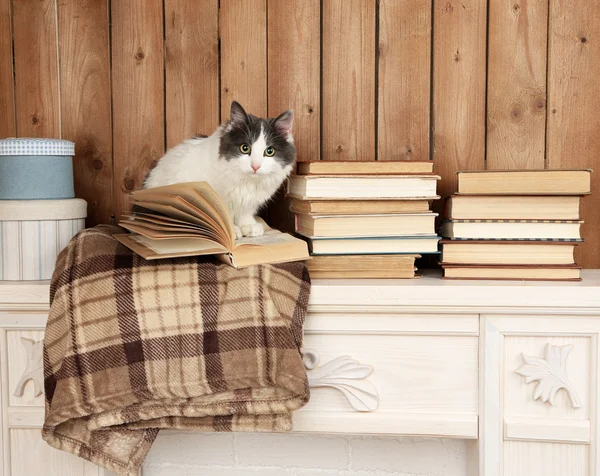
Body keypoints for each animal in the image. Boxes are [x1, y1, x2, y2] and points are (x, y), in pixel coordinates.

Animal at [145, 102, 296, 240]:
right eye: (245, 148)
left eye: (270, 151)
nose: (255, 166)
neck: (246, 182)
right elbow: (224, 215)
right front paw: (232, 231)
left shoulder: (250, 201)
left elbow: (245, 213)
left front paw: (248, 226)